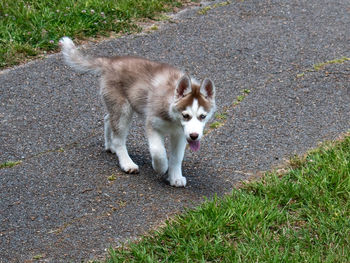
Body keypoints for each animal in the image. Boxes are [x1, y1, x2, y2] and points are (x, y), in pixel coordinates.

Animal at [58, 36, 215, 188]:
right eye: (185, 116)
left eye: (202, 116)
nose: (194, 136)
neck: (172, 116)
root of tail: (110, 62)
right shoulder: (152, 124)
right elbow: (158, 151)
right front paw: (161, 167)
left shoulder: (180, 134)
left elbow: (177, 157)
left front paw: (175, 177)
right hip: (123, 109)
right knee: (118, 138)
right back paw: (127, 162)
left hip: (117, 107)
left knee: (108, 119)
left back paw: (110, 145)